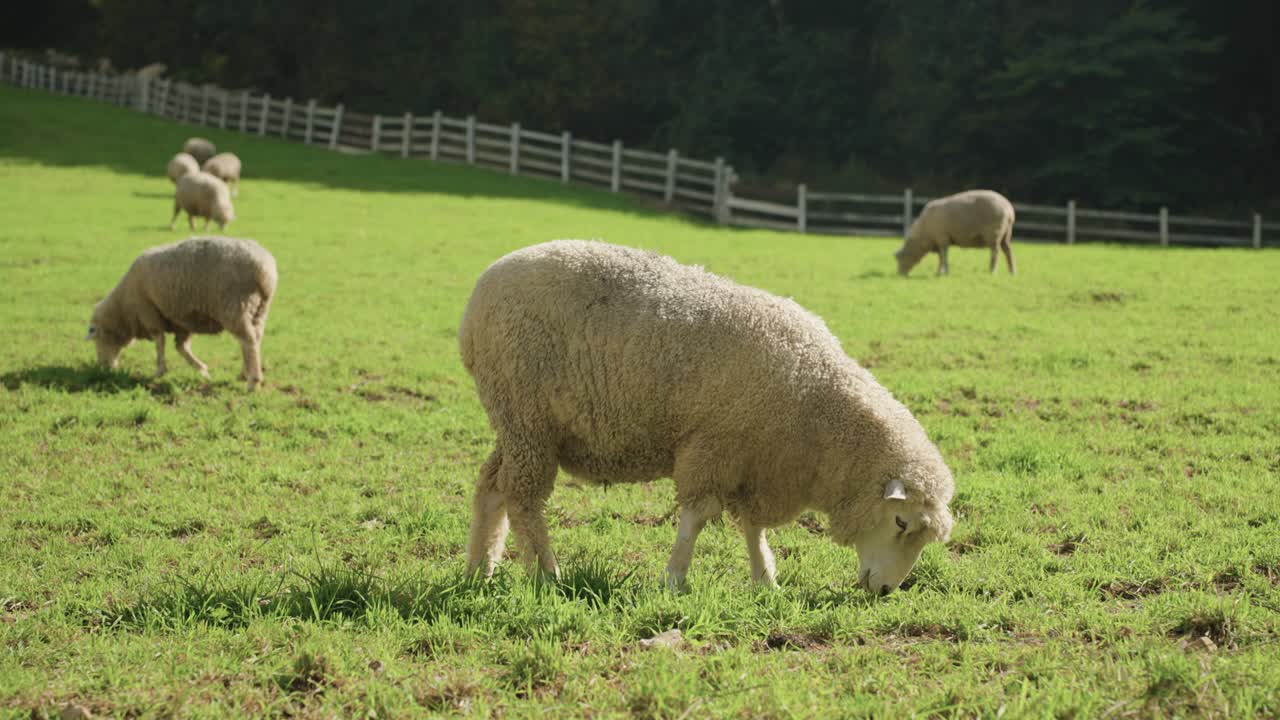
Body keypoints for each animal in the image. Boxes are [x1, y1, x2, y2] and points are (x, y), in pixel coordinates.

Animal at [86, 236, 277, 392]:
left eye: (97, 339)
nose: (104, 369)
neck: (124, 309)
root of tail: (266, 271)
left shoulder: (148, 311)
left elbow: (160, 342)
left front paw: (159, 371)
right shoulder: (182, 319)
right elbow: (181, 347)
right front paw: (202, 370)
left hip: (236, 306)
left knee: (248, 341)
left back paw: (253, 382)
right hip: (258, 310)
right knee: (254, 340)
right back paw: (244, 374)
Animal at [459, 240, 955, 594]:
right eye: (901, 522)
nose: (886, 590)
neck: (817, 403)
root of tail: (476, 300)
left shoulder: (754, 461)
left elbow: (752, 527)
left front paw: (765, 581)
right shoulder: (714, 447)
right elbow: (697, 517)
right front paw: (674, 579)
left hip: (518, 422)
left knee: (492, 486)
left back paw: (479, 569)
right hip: (527, 417)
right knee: (522, 496)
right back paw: (546, 574)